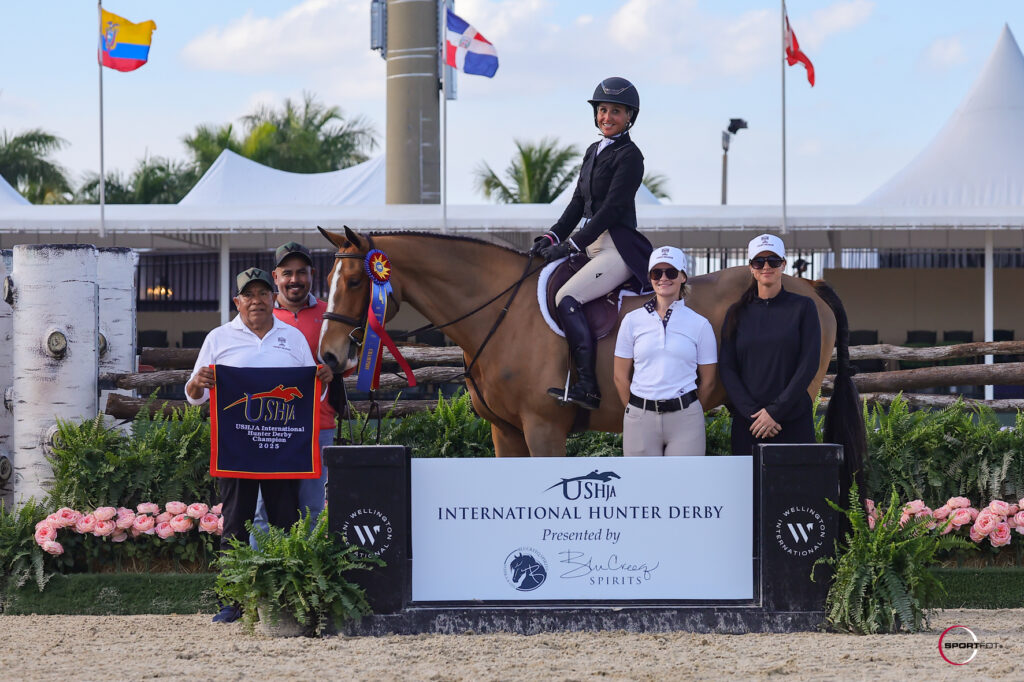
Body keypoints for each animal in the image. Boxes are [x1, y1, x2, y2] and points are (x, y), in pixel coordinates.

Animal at [317, 228, 864, 483]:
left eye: (355, 281)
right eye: (330, 279)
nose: (328, 357)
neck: (501, 310)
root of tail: (809, 285)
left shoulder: (543, 428)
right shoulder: (505, 432)